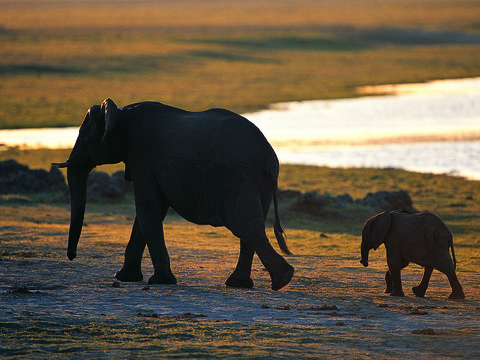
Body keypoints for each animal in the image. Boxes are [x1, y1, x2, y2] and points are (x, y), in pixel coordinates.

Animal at [51, 100, 292, 292]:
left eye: (85, 138)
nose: (72, 256)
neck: (121, 112)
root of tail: (270, 157)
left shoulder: (141, 157)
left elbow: (148, 209)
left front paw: (159, 280)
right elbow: (151, 212)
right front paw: (126, 277)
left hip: (240, 179)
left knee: (245, 225)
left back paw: (281, 280)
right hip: (257, 182)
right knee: (250, 227)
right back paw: (241, 283)